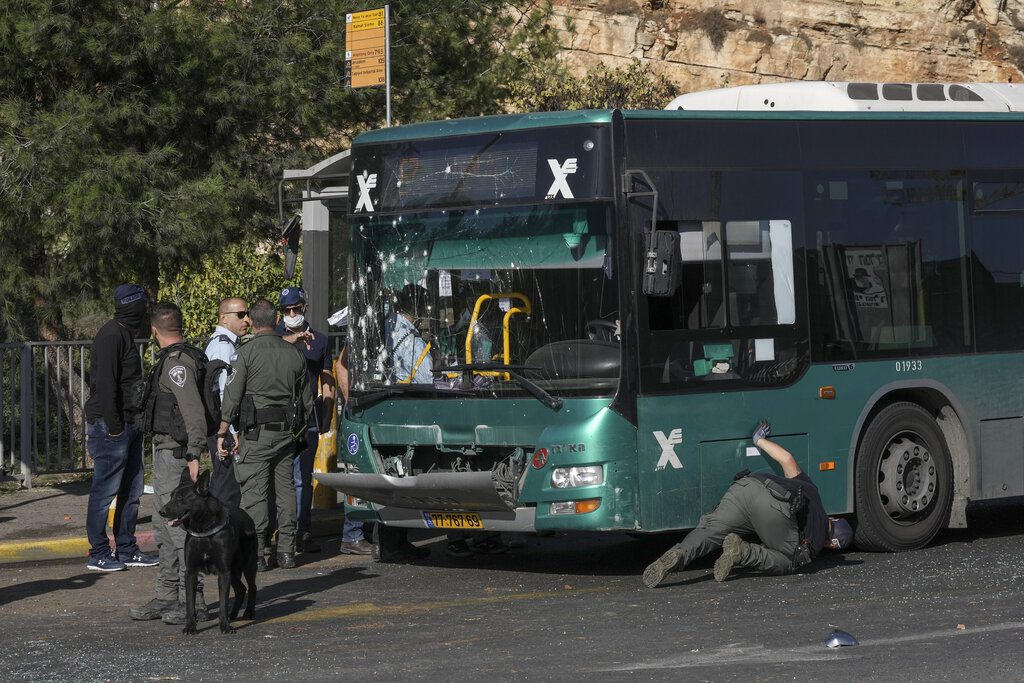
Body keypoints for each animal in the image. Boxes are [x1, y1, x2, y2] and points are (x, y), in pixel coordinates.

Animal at [159, 471, 258, 634]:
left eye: (180, 498)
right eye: (171, 496)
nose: (161, 512)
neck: (204, 531)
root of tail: (246, 514)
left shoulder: (223, 572)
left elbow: (223, 603)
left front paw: (224, 626)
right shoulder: (191, 572)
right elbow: (190, 605)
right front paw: (190, 627)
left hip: (247, 565)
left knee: (252, 586)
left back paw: (249, 612)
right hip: (233, 571)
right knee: (241, 589)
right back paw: (233, 614)